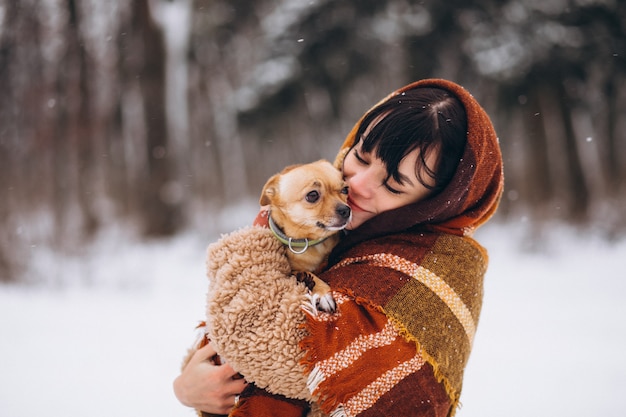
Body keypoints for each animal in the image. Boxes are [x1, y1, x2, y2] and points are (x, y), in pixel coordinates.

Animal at [260, 159, 352, 312]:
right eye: (312, 195)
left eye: (345, 190)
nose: (346, 210)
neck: (313, 242)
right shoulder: (293, 270)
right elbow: (307, 273)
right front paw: (322, 293)